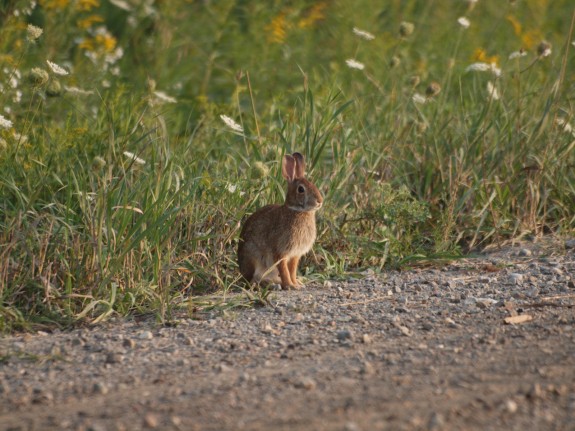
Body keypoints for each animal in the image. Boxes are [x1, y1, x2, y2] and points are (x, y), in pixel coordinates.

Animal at [238, 152, 324, 290]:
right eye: (301, 189)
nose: (320, 201)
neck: (298, 211)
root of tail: (242, 272)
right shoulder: (280, 252)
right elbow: (284, 270)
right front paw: (290, 285)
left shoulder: (295, 255)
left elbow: (292, 270)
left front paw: (295, 284)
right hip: (255, 260)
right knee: (252, 280)